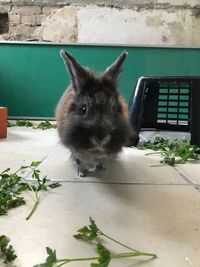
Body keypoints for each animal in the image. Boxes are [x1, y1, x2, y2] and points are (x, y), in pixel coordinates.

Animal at [55, 49, 134, 178]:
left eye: (114, 108)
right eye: (84, 108)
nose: (100, 138)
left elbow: (101, 160)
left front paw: (100, 167)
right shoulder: (75, 149)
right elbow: (79, 160)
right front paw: (81, 173)